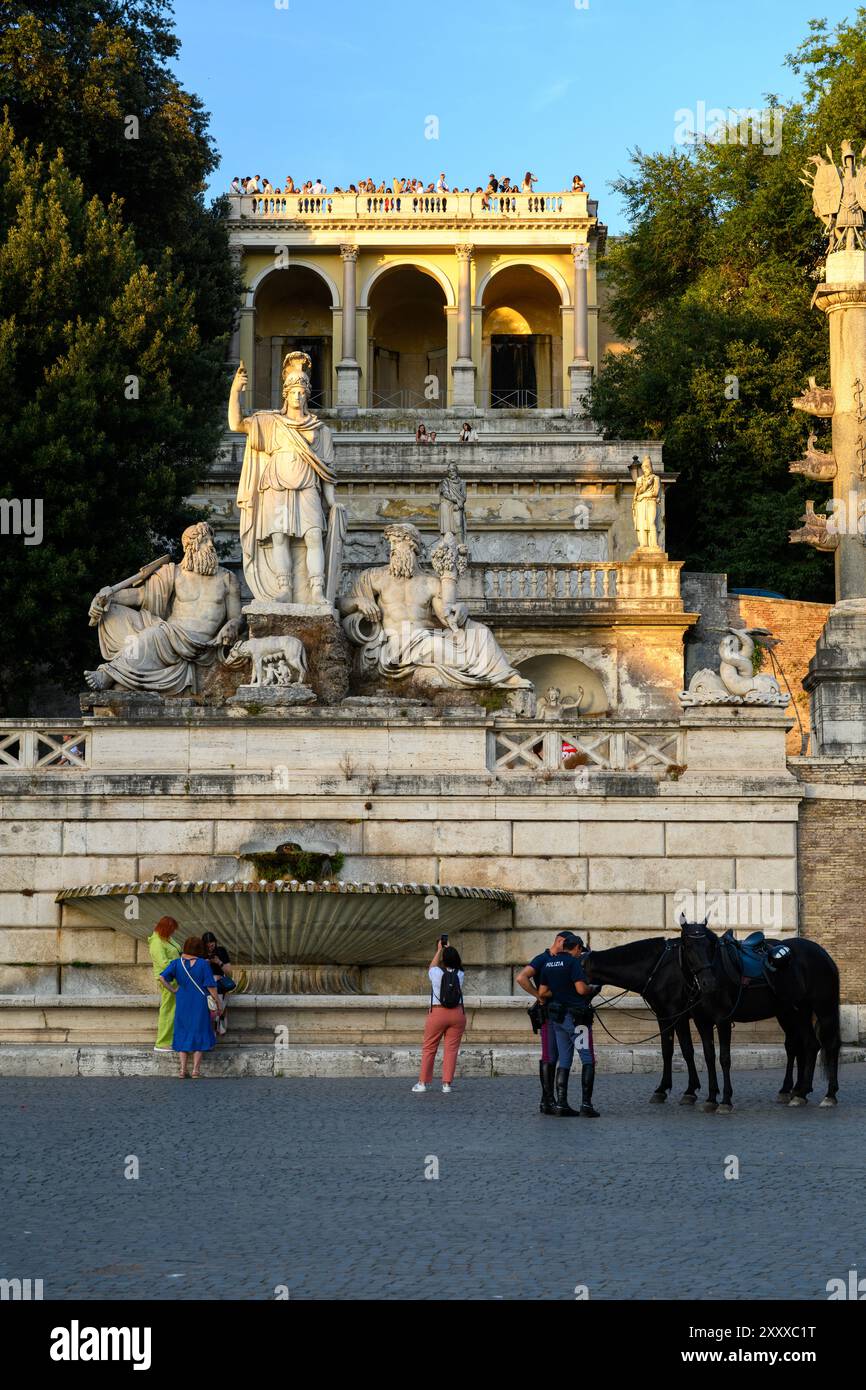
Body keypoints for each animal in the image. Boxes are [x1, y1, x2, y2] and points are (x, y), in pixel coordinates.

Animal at [681, 922, 845, 1106]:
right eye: (688, 946)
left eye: (709, 946)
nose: (708, 982)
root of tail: (824, 954)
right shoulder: (702, 1022)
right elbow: (709, 1056)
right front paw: (711, 1098)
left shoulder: (723, 1020)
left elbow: (724, 1058)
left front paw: (725, 1100)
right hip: (797, 1012)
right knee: (809, 1044)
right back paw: (800, 1093)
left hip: (824, 1008)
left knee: (830, 1045)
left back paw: (829, 1094)